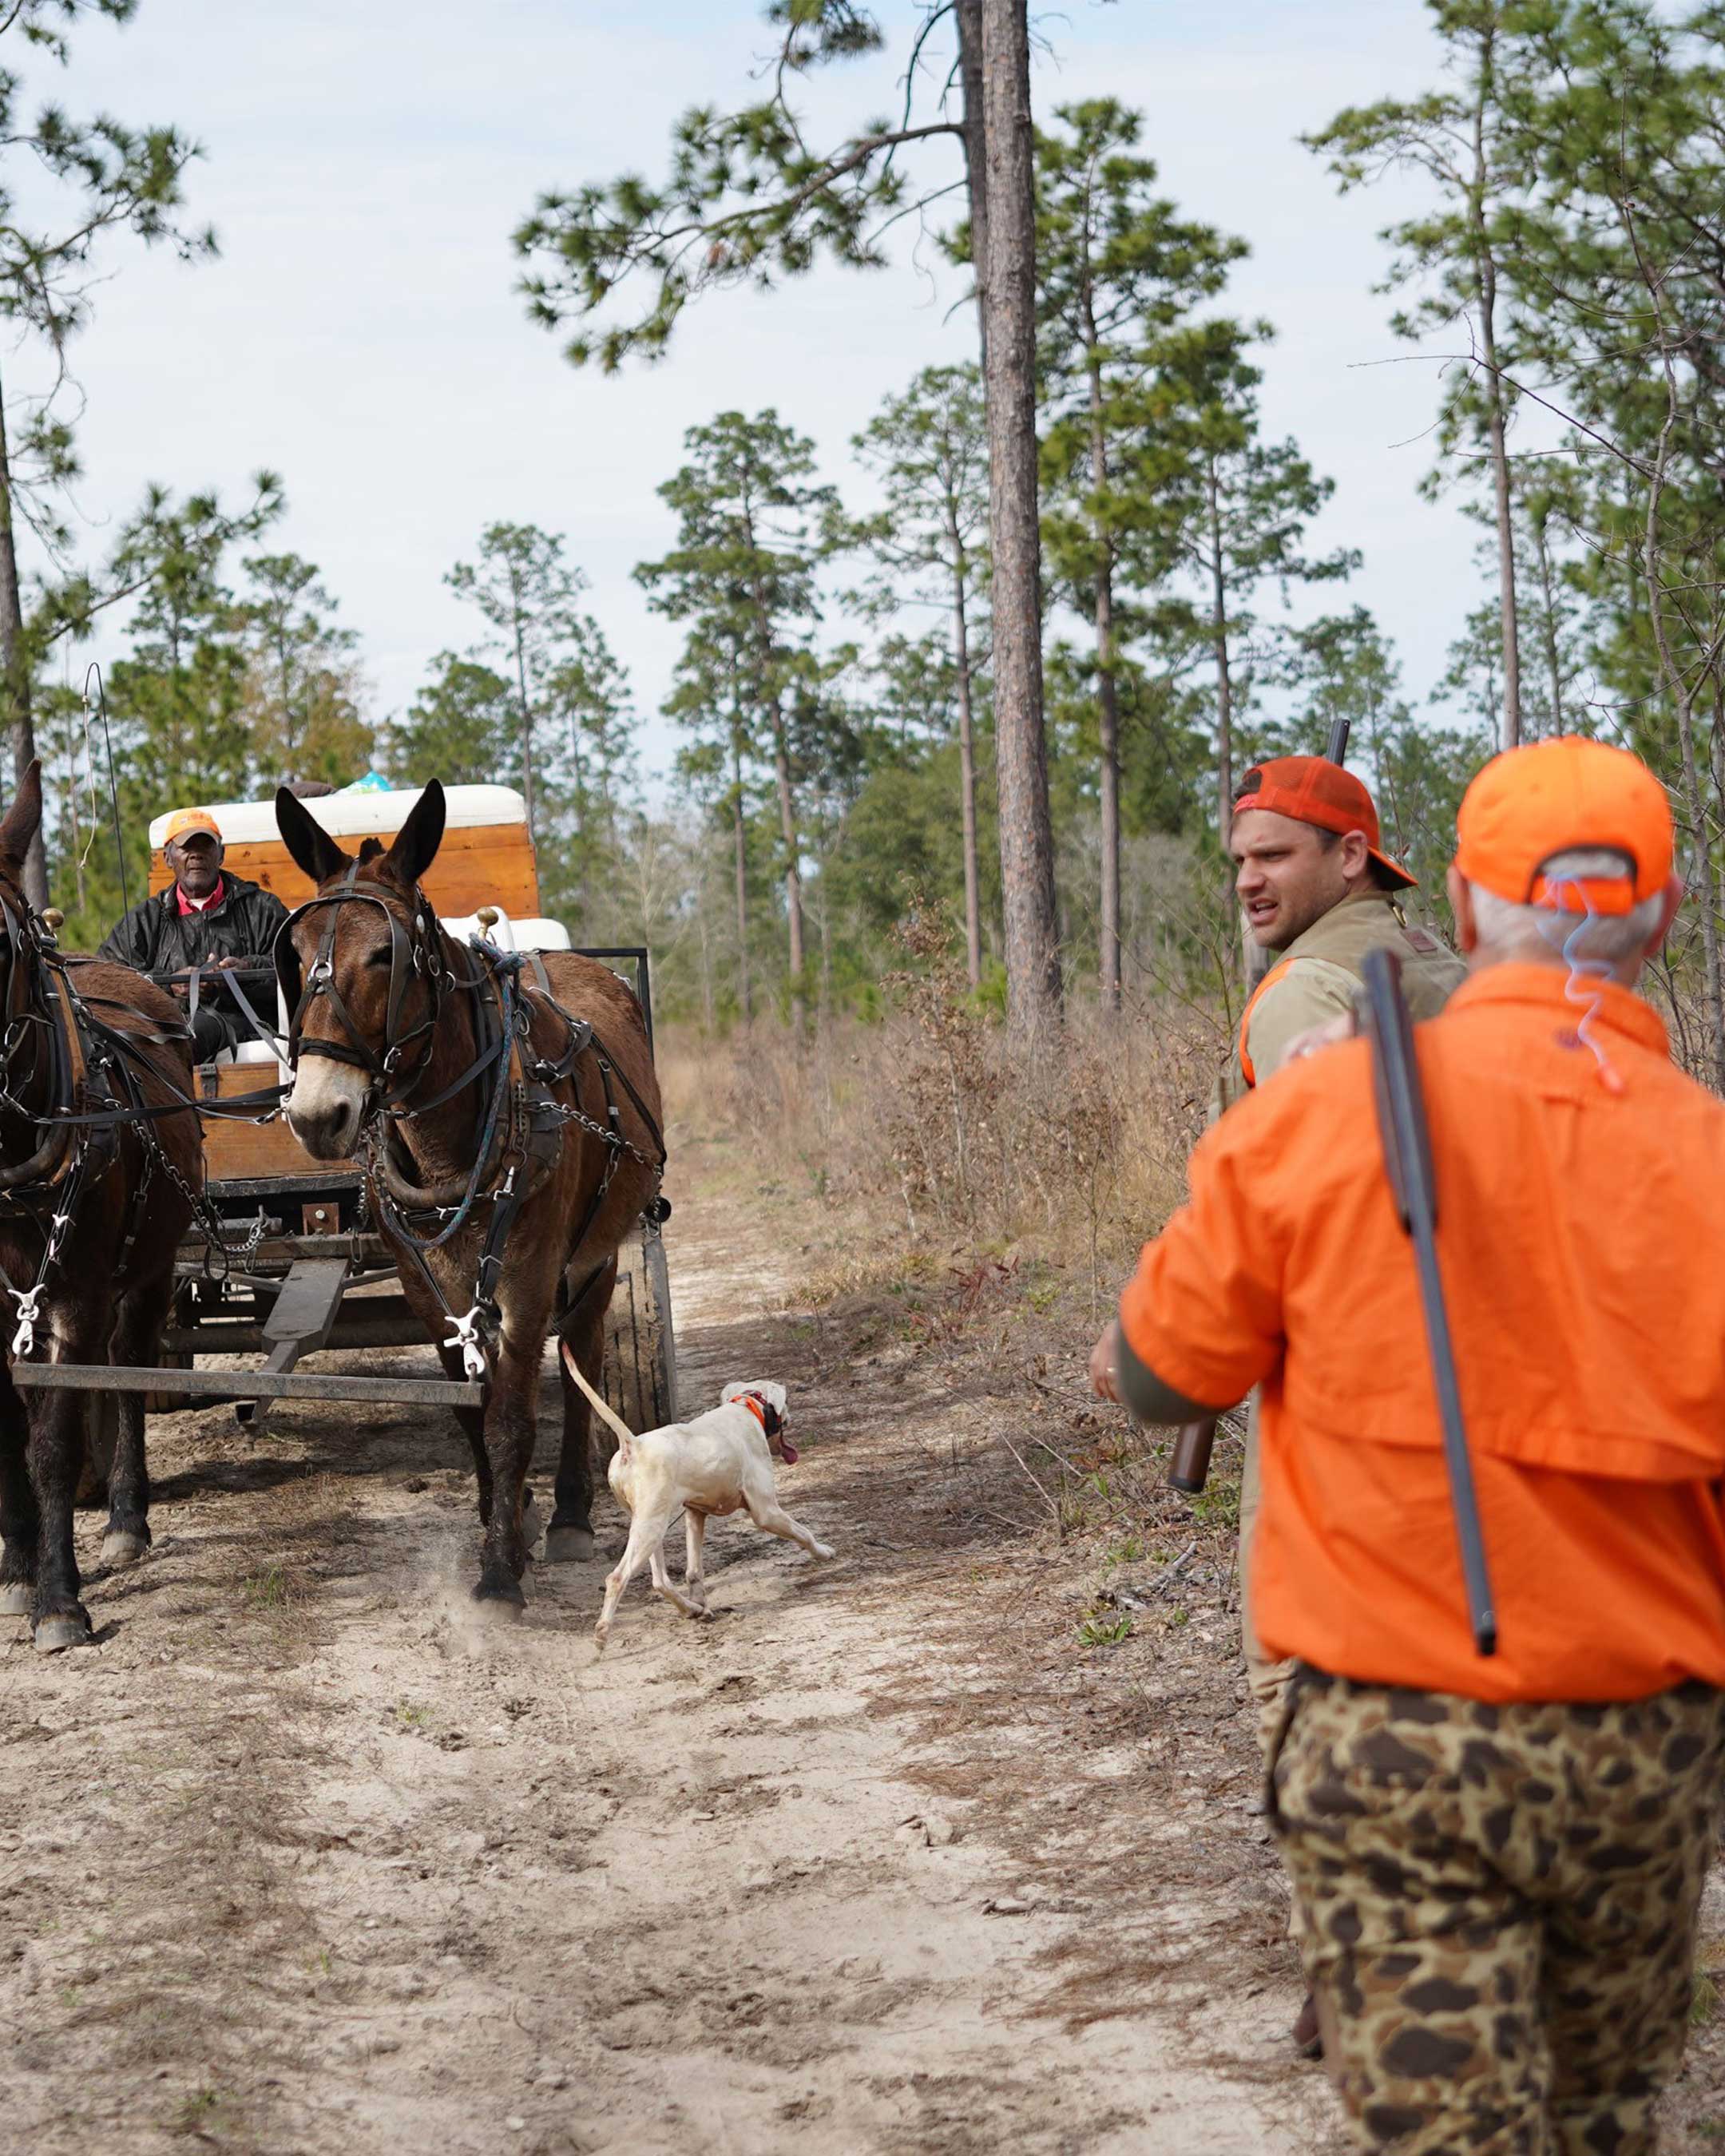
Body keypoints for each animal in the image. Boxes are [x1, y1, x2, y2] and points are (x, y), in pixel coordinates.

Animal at [561, 1345, 836, 1647]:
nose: (791, 1417)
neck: (746, 1407)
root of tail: (633, 1445)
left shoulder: (695, 1514)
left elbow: (693, 1571)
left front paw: (701, 1603)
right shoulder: (767, 1512)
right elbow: (804, 1533)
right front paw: (823, 1552)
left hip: (648, 1527)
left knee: (660, 1581)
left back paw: (692, 1609)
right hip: (650, 1528)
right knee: (618, 1578)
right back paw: (602, 1634)